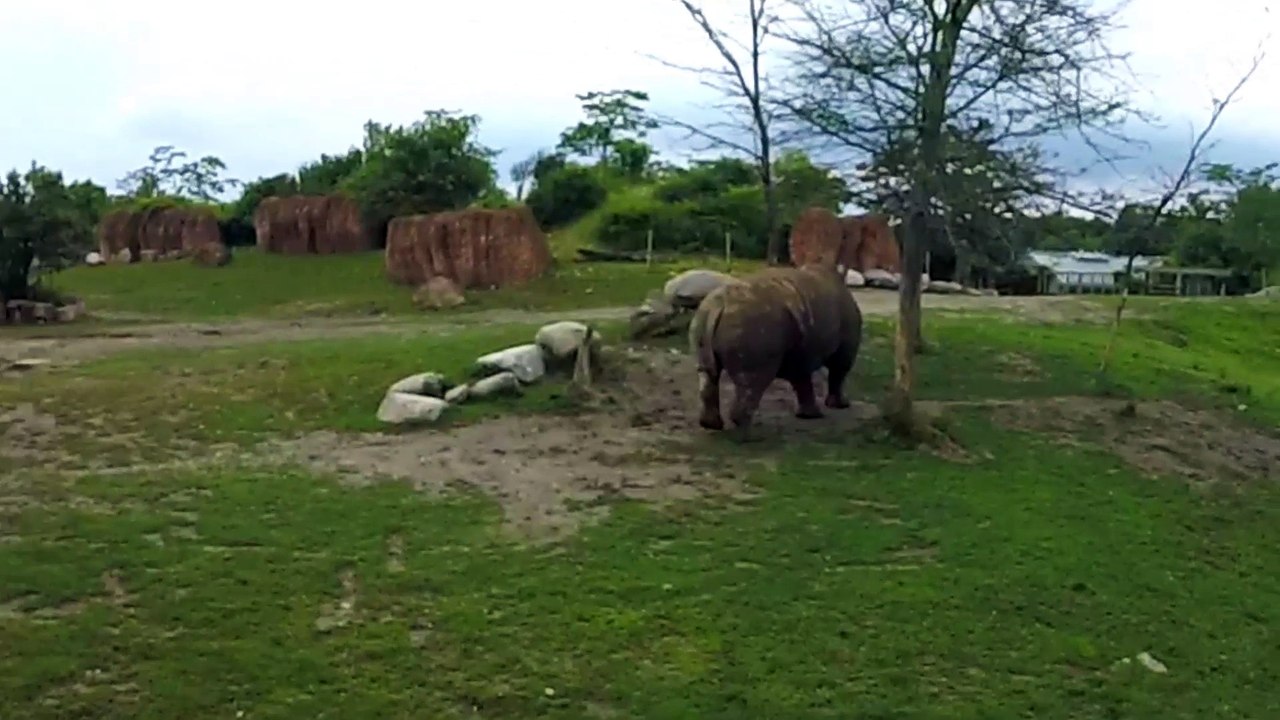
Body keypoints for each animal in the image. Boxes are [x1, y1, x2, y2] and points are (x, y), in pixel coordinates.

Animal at [688, 263, 863, 431]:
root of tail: (720, 306)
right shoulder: (845, 342)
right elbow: (839, 371)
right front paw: (841, 405)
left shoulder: (801, 349)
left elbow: (802, 379)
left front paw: (809, 415)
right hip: (752, 323)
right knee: (752, 380)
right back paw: (749, 432)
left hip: (703, 317)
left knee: (708, 373)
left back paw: (711, 425)